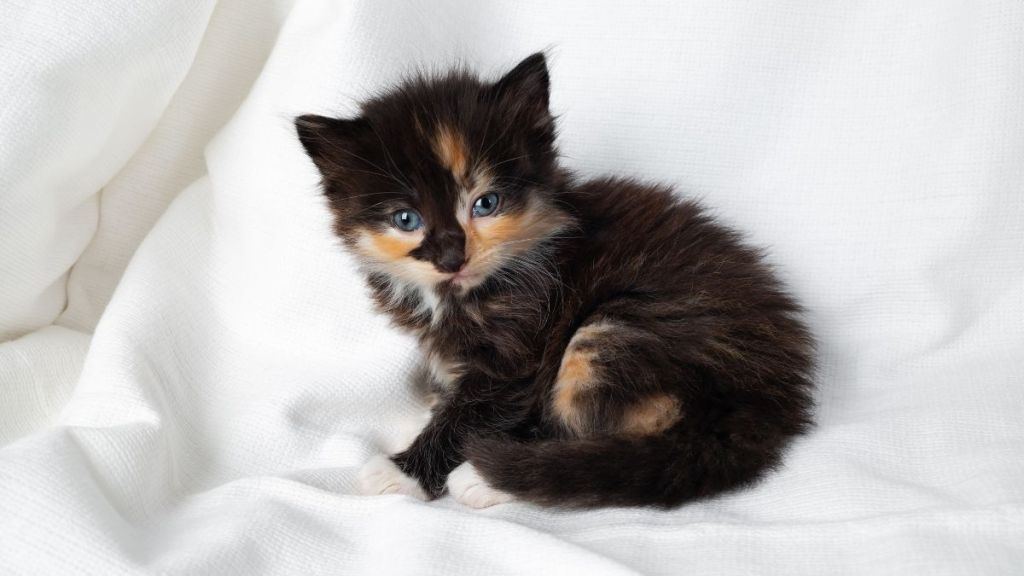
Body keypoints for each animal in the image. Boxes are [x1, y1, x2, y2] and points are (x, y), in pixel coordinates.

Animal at [296, 51, 815, 504]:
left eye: (486, 203)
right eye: (406, 219)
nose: (451, 257)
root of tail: (772, 397)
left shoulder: (522, 346)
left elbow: (477, 411)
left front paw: (406, 471)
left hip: (622, 330)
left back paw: (488, 476)